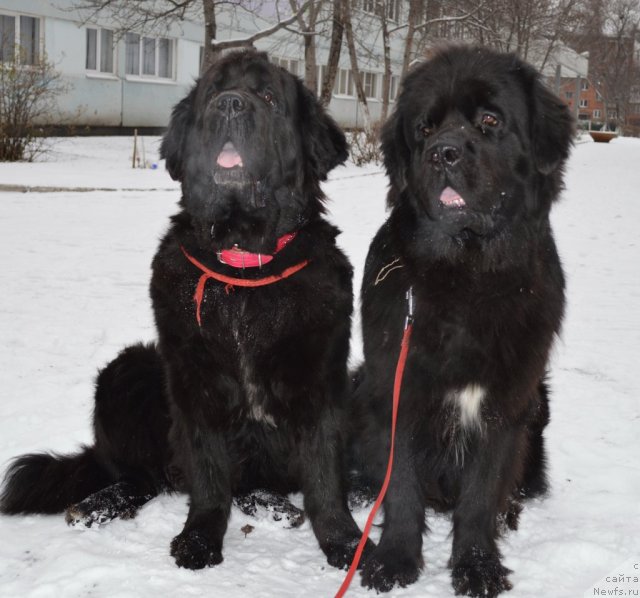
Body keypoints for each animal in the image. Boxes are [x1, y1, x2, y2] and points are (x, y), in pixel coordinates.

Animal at [0, 54, 370, 576]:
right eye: (213, 92)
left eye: (269, 96)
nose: (230, 104)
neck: (242, 268)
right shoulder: (195, 382)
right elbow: (210, 476)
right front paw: (199, 539)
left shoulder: (322, 381)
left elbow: (323, 476)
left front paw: (344, 541)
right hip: (128, 369)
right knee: (143, 475)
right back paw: (96, 504)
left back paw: (281, 505)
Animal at [350, 44, 576, 596]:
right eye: (425, 128)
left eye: (490, 120)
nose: (443, 153)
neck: (468, 273)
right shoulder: (398, 386)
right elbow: (402, 484)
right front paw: (394, 559)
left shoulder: (505, 402)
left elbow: (480, 496)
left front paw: (477, 565)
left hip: (537, 404)